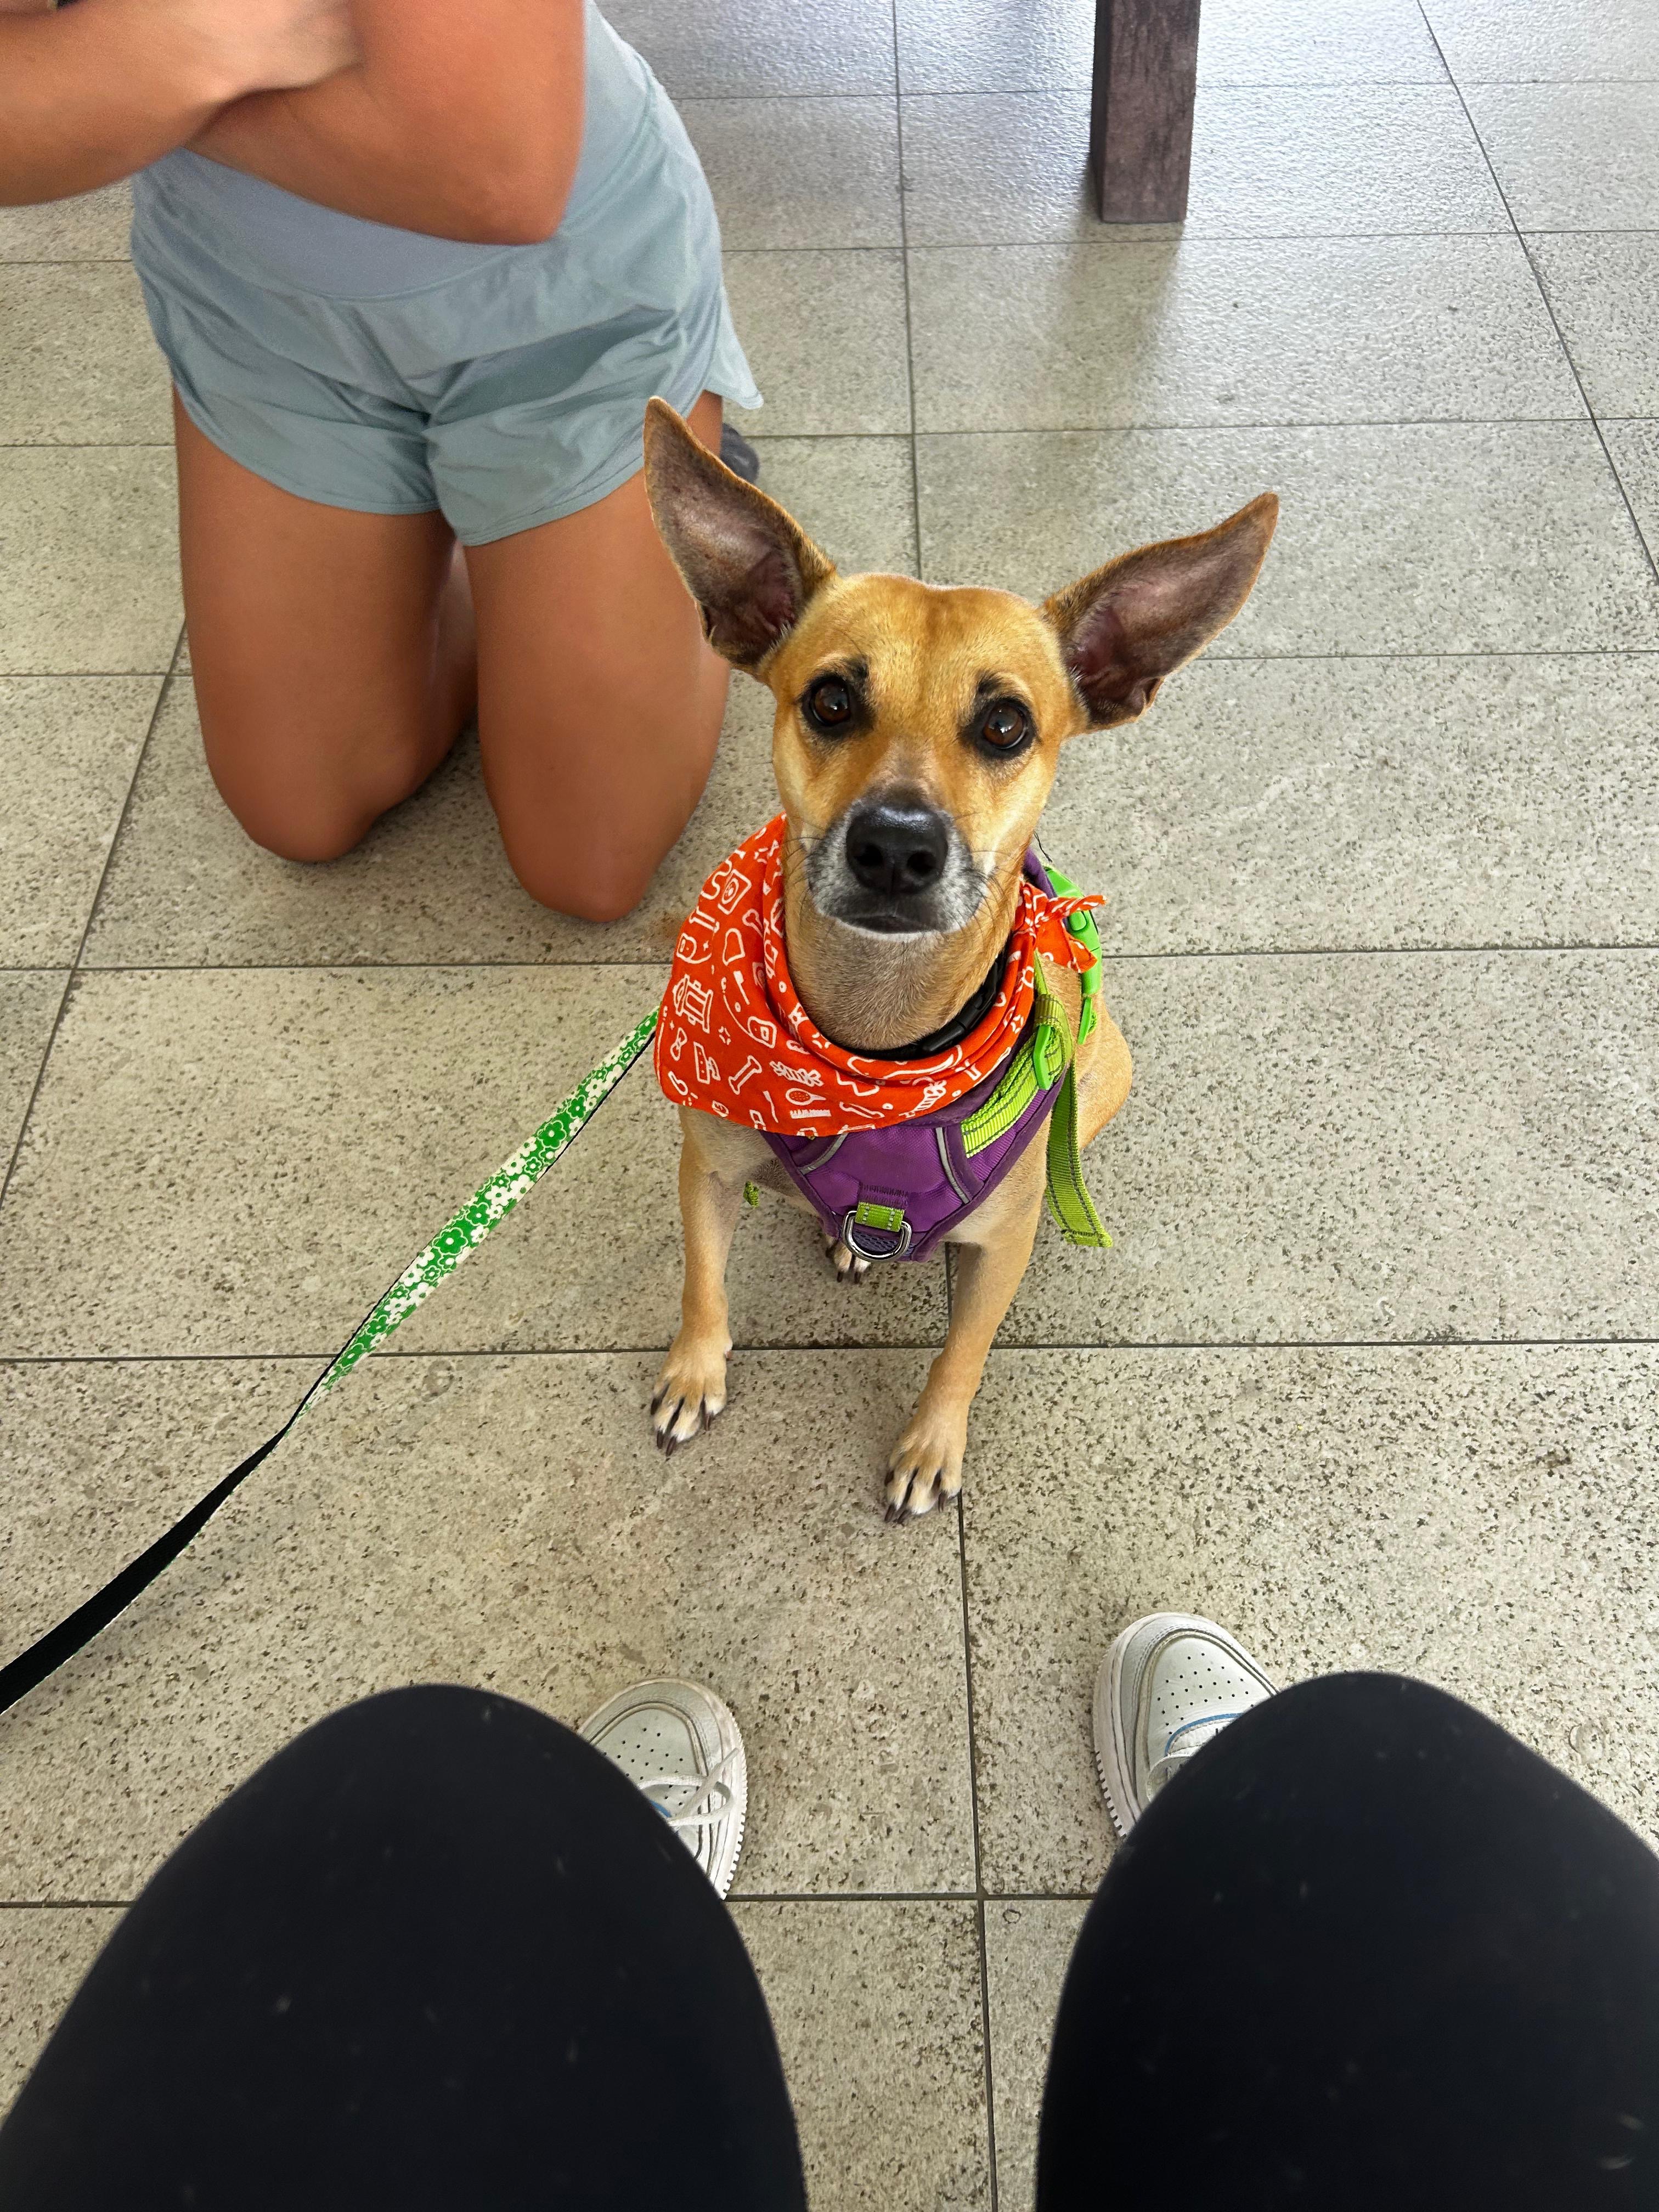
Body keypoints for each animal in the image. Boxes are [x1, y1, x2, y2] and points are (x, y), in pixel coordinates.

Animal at [641, 398, 1275, 1518]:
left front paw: (931, 1445)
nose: (896, 846)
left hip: (1106, 1075)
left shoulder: (1000, 1247)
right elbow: (702, 1281)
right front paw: (694, 1370)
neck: (874, 1047)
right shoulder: (706, 1167)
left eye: (1005, 723)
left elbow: (961, 1355)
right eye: (831, 701)